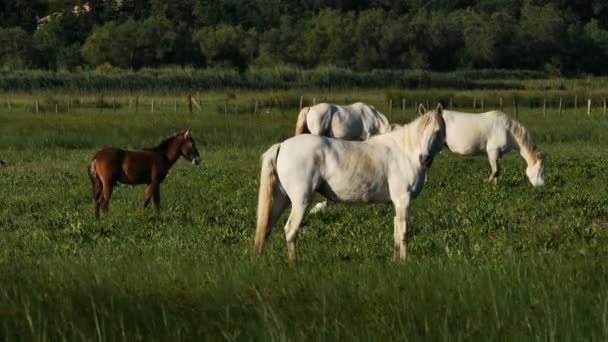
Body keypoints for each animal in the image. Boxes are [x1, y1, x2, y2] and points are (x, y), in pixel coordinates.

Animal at [254, 104, 444, 262]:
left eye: (437, 132)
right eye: (422, 131)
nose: (424, 159)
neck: (404, 151)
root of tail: (282, 145)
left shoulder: (396, 203)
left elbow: (397, 234)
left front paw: (396, 261)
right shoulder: (403, 200)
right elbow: (404, 233)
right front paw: (404, 263)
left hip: (281, 199)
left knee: (266, 228)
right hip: (301, 201)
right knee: (291, 230)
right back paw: (293, 263)